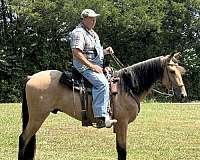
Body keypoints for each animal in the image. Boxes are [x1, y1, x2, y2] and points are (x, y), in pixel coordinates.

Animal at [18, 52, 187, 159]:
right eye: (172, 71)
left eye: (181, 71)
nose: (183, 95)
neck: (128, 87)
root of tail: (31, 77)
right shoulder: (122, 123)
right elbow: (122, 151)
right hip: (37, 117)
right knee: (23, 139)